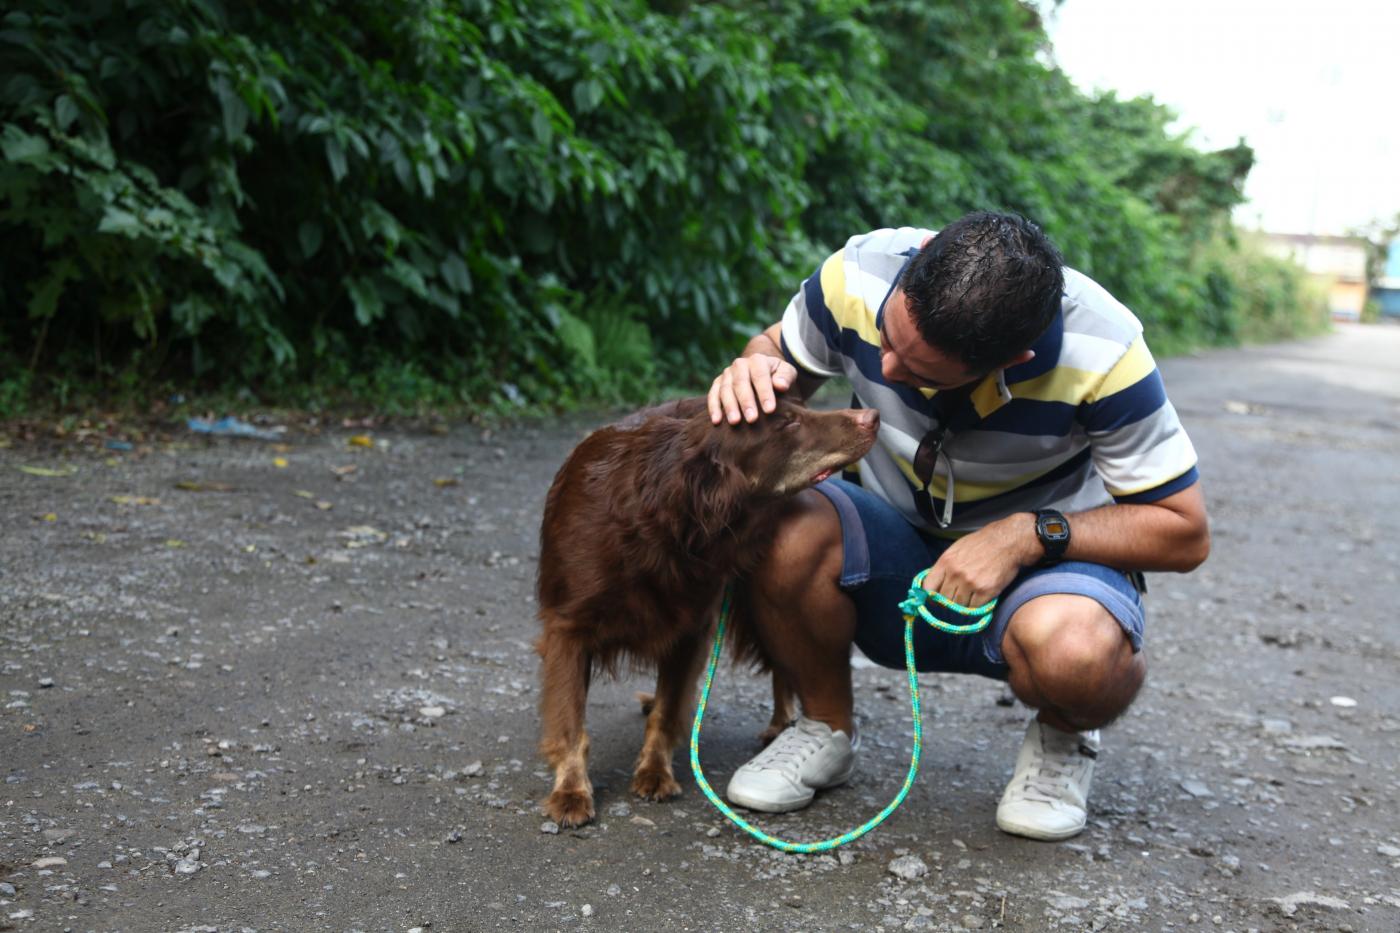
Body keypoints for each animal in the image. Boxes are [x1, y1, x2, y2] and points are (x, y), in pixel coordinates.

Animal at [534, 395, 873, 823]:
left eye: (799, 409)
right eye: (788, 422)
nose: (872, 417)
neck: (663, 529)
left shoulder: (689, 629)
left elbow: (667, 712)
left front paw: (655, 773)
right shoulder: (568, 628)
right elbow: (571, 720)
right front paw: (572, 792)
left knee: (781, 665)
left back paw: (781, 723)